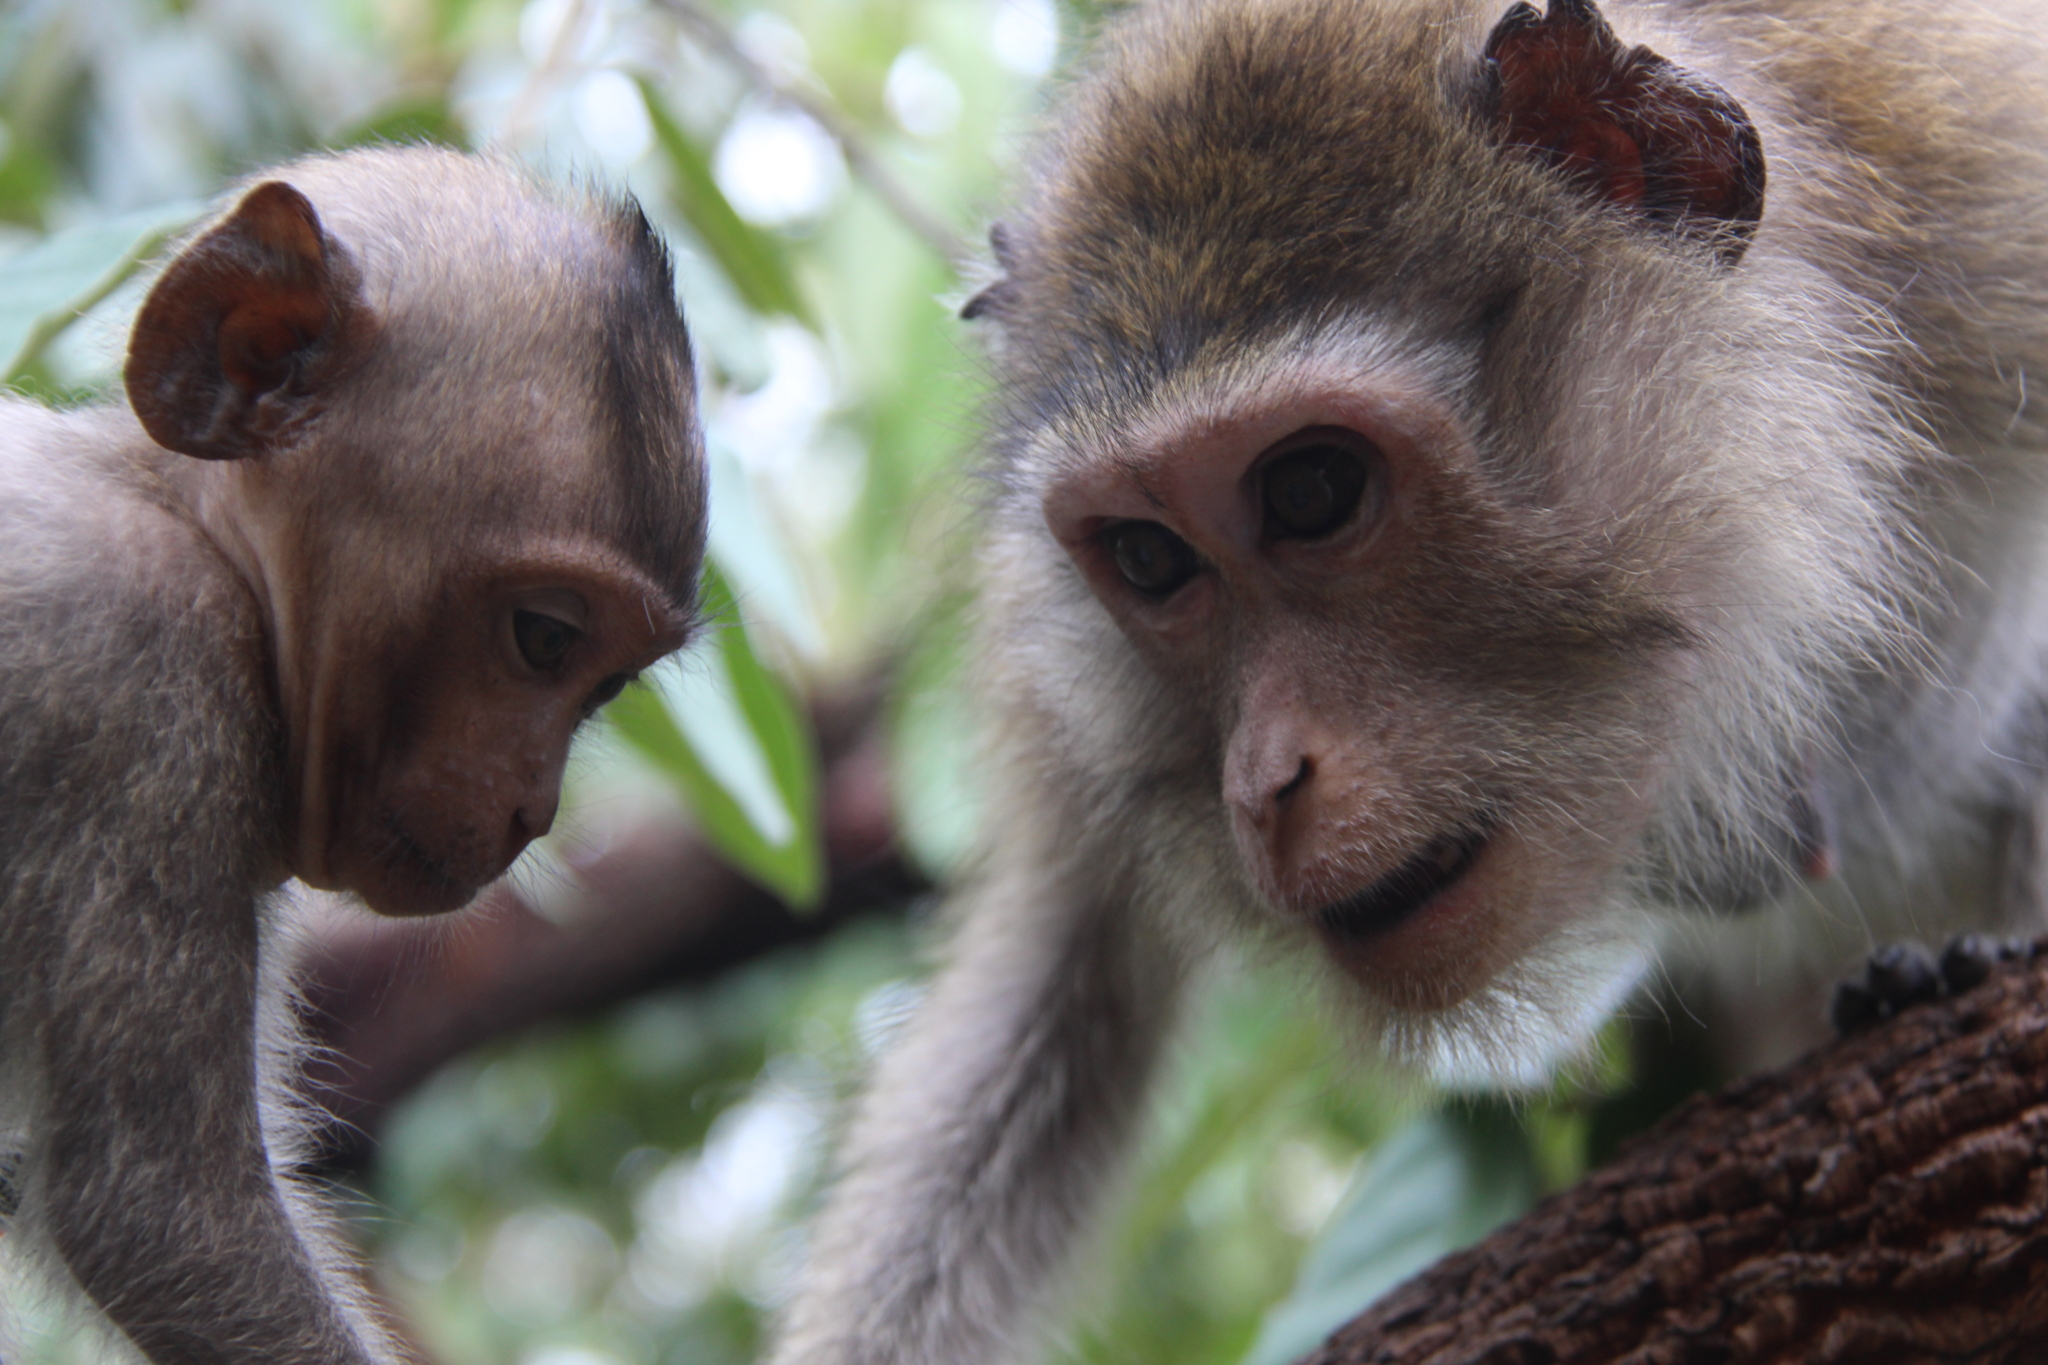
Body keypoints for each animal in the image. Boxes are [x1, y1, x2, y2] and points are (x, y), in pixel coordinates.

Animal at [0, 149, 704, 1365]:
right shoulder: (144, 686)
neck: (192, 529)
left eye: (608, 686)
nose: (534, 811)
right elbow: (157, 1215)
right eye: (544, 637)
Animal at [774, 2, 2048, 1365]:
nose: (1262, 780)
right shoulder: (1049, 656)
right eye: (1148, 557)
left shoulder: (1994, 217)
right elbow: (1053, 993)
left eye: (1310, 489)